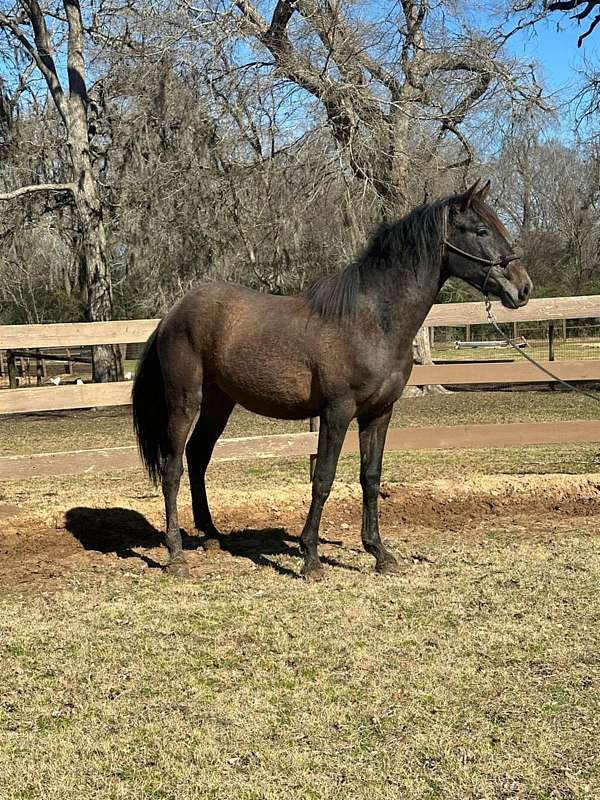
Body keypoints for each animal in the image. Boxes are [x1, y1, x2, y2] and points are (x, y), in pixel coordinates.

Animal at [132, 180, 532, 579]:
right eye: (481, 231)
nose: (523, 288)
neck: (372, 321)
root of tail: (172, 315)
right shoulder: (337, 412)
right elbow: (323, 479)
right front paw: (310, 558)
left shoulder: (379, 413)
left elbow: (371, 478)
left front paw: (379, 553)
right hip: (185, 401)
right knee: (173, 468)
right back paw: (176, 555)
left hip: (220, 401)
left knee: (199, 456)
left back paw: (212, 535)